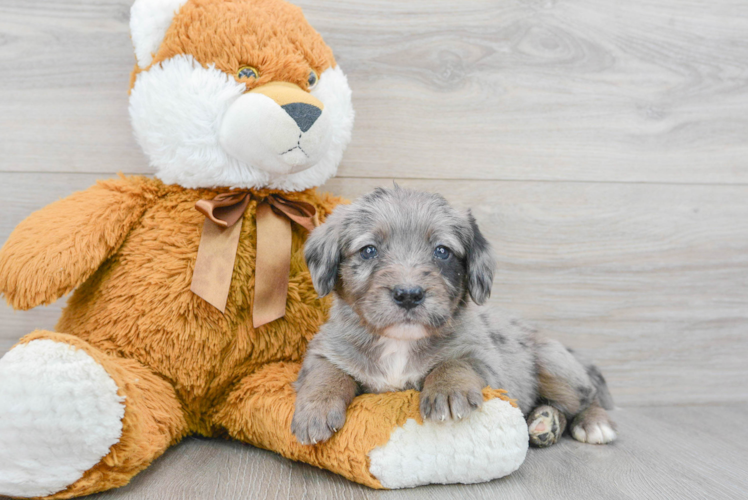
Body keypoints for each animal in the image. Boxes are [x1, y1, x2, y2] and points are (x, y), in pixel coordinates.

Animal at [290, 186, 612, 448]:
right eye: (369, 250)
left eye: (442, 251)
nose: (409, 294)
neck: (398, 343)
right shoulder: (325, 349)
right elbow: (327, 374)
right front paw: (316, 408)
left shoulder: (485, 360)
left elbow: (454, 363)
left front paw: (447, 390)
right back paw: (544, 423)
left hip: (553, 365)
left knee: (588, 396)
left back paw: (593, 423)